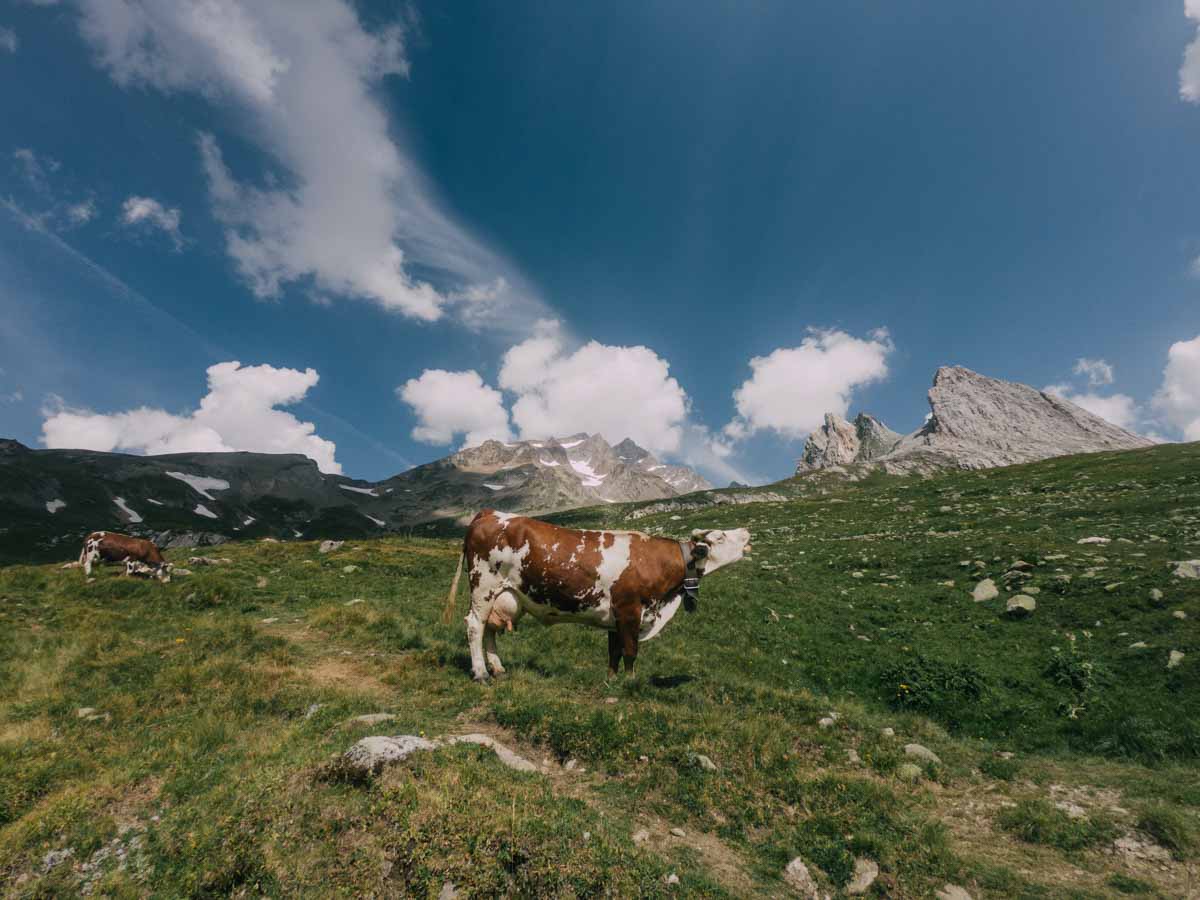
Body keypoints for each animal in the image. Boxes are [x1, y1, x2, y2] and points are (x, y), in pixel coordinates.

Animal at [458, 511, 748, 681]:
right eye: (721, 537)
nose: (746, 531)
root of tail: (490, 513)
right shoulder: (629, 609)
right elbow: (630, 650)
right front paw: (631, 683)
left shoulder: (616, 616)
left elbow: (614, 651)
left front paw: (611, 680)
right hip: (483, 586)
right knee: (475, 626)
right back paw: (481, 673)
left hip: (501, 594)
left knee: (490, 630)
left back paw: (497, 668)